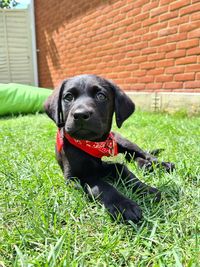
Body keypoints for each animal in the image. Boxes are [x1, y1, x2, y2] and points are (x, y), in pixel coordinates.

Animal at [44, 74, 174, 224]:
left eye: (101, 96)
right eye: (68, 97)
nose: (81, 114)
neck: (92, 144)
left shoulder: (114, 165)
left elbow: (129, 175)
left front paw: (147, 190)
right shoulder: (74, 177)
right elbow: (102, 186)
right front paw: (124, 205)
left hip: (125, 142)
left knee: (144, 153)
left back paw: (160, 164)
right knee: (134, 157)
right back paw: (145, 165)